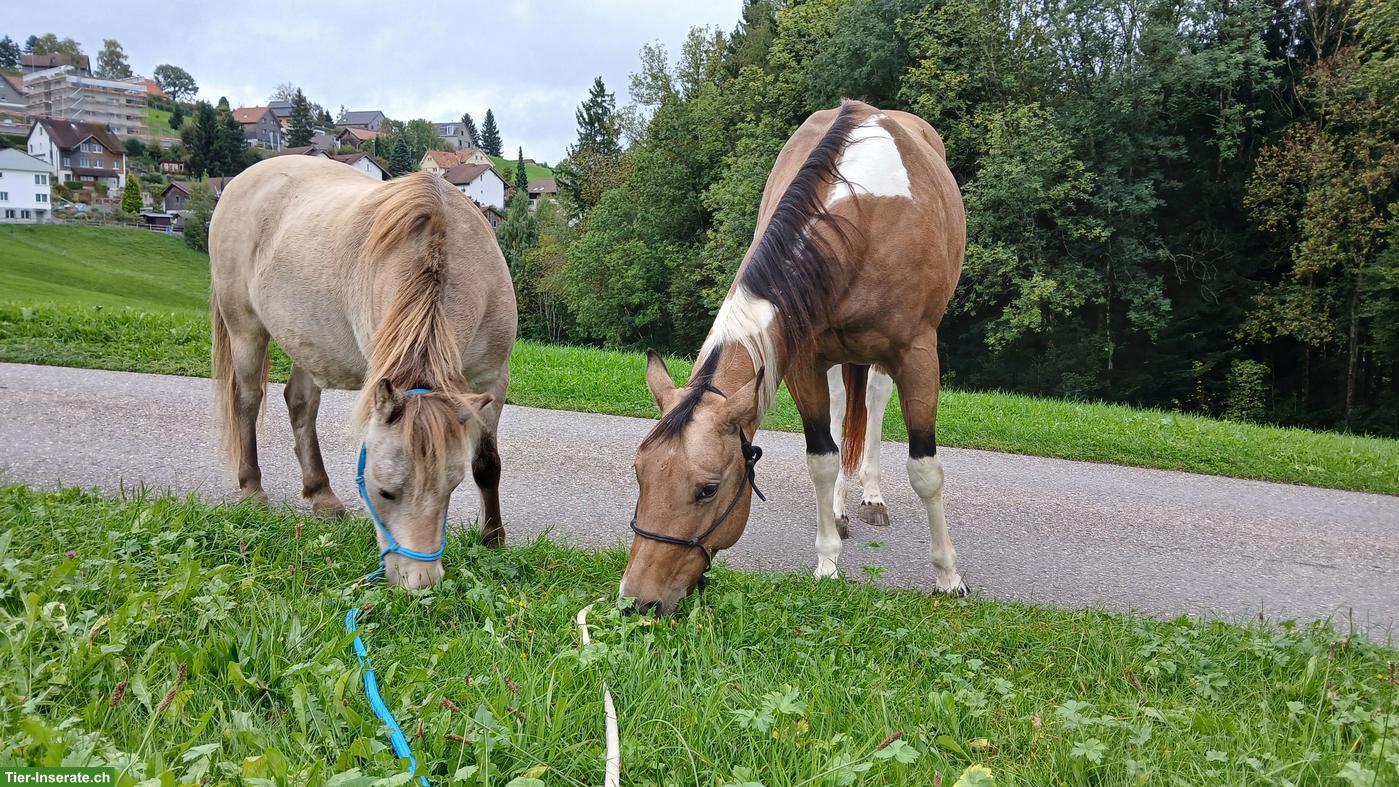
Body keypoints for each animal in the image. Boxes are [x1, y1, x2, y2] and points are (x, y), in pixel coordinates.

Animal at [208, 156, 517, 589]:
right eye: (383, 491)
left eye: (450, 488)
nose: (421, 580)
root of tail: (241, 180)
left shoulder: (492, 379)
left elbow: (487, 464)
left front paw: (492, 539)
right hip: (245, 330)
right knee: (248, 403)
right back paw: (252, 489)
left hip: (308, 339)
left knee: (300, 403)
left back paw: (321, 494)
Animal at [621, 100, 965, 614]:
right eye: (639, 475)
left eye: (707, 489)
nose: (636, 601)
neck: (862, 217)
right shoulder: (803, 360)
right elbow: (822, 457)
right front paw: (828, 562)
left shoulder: (918, 354)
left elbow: (925, 469)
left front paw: (947, 575)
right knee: (844, 410)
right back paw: (841, 507)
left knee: (876, 402)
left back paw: (872, 497)